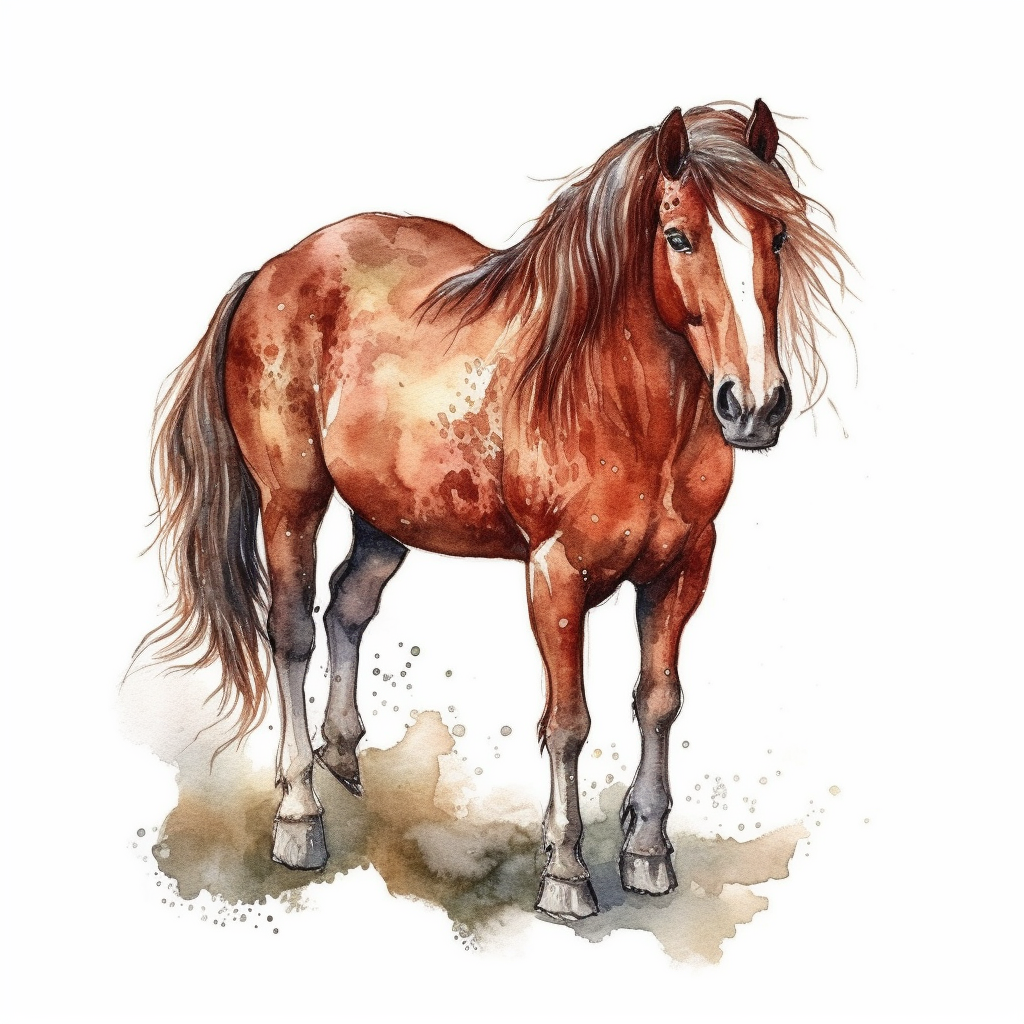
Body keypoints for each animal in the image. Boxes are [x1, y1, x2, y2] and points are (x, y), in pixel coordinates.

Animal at [141, 100, 849, 920]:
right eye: (679, 236)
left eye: (778, 235)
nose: (755, 405)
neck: (614, 401)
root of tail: (273, 270)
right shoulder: (557, 577)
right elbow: (569, 723)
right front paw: (567, 875)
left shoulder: (683, 567)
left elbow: (659, 702)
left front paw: (647, 855)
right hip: (291, 501)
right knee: (290, 635)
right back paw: (300, 819)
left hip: (388, 517)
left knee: (347, 607)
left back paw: (344, 756)